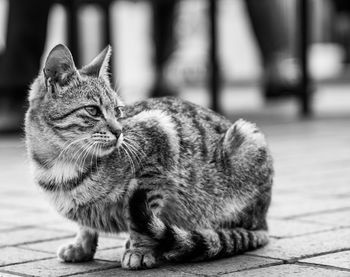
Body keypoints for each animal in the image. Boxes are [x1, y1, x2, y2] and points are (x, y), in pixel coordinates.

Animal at [24, 44, 274, 268]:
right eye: (93, 110)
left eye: (118, 111)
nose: (119, 131)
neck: (60, 164)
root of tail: (263, 221)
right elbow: (85, 226)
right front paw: (81, 246)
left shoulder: (159, 143)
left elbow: (140, 219)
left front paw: (139, 251)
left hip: (247, 138)